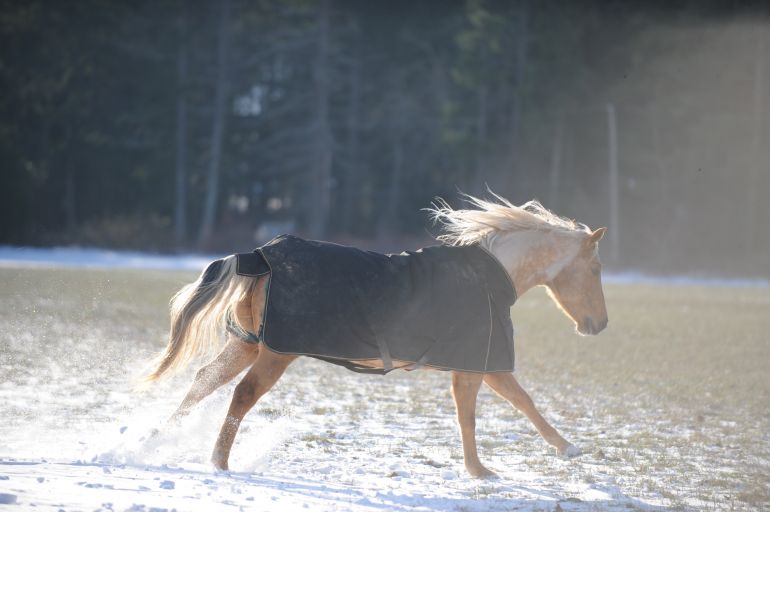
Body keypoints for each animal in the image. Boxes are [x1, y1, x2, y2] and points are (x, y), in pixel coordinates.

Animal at [143, 195, 608, 478]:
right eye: (596, 268)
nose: (600, 325)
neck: (488, 277)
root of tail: (261, 255)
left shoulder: (473, 365)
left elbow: (494, 407)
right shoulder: (481, 363)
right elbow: (504, 406)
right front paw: (542, 455)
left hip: (248, 343)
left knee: (204, 381)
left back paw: (156, 438)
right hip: (276, 351)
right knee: (242, 394)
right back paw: (219, 462)